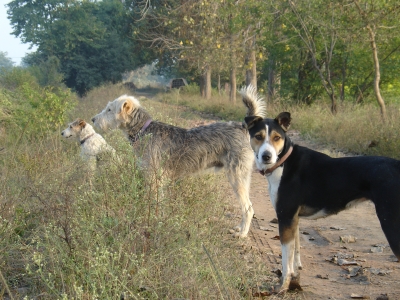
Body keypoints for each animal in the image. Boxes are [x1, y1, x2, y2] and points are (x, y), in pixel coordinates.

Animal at [91, 95, 255, 238]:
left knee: (248, 208)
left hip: (237, 177)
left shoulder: (154, 179)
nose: (92, 119)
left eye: (109, 109)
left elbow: (155, 203)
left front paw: (154, 221)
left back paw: (242, 234)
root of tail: (241, 127)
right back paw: (240, 228)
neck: (143, 130)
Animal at [241, 85, 400, 292]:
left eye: (276, 138)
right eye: (258, 137)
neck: (283, 162)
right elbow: (294, 253)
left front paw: (283, 286)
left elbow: (285, 260)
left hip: (391, 223)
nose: (266, 156)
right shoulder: (293, 219)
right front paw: (294, 279)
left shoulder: (285, 216)